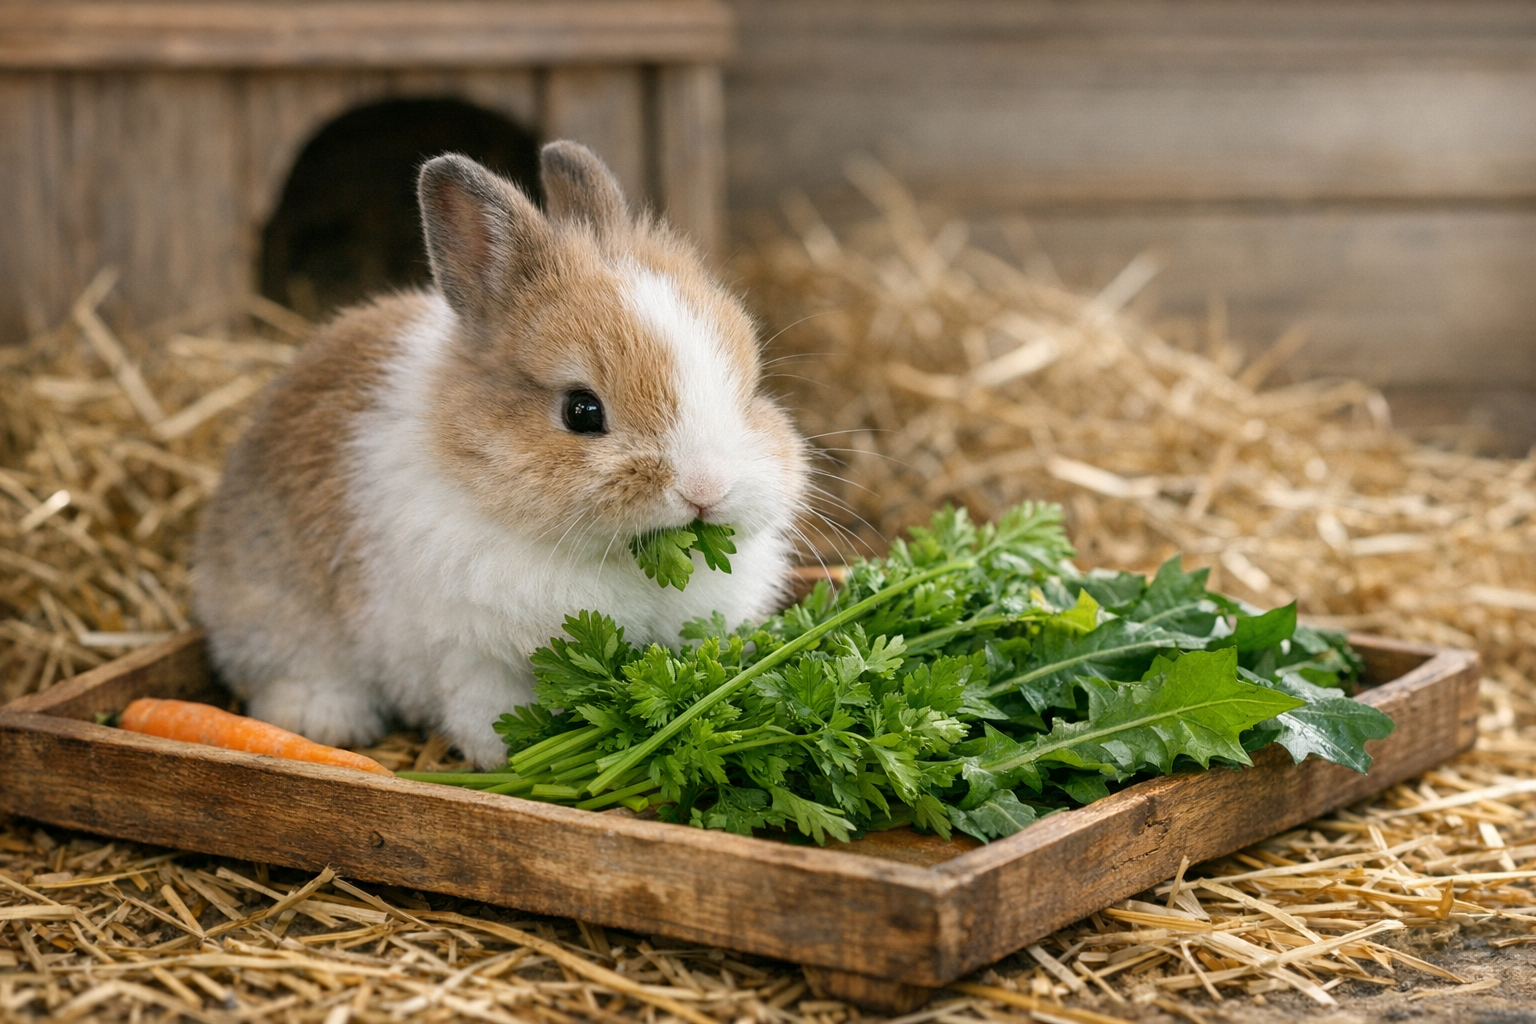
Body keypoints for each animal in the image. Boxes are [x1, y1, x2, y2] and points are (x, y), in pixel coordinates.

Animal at [193, 142, 810, 768]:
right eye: (581, 411)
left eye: (750, 388)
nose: (706, 488)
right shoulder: (474, 654)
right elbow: (487, 712)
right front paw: (508, 760)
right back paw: (327, 722)